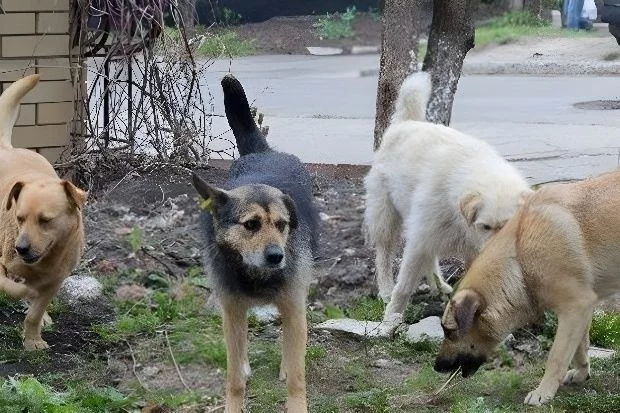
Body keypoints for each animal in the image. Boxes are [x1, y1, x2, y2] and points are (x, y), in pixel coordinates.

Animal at [0, 75, 87, 350]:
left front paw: (33, 340)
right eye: (19, 218)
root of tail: (7, 148)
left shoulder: (55, 280)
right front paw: (23, 292)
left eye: (45, 220)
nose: (21, 248)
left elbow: (35, 313)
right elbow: (10, 287)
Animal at [193, 74, 320, 412]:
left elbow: (297, 377)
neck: (256, 276)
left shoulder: (293, 305)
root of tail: (263, 151)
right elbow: (234, 378)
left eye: (282, 225)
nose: (277, 256)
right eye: (250, 225)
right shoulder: (232, 310)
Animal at [364, 72, 532, 324]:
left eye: (509, 225)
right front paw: (391, 317)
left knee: (429, 257)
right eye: (485, 226)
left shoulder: (469, 249)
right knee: (384, 254)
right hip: (387, 216)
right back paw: (385, 291)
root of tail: (407, 122)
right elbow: (404, 287)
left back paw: (439, 286)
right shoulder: (419, 239)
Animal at [434, 169, 620, 404]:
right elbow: (579, 348)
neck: (519, 258)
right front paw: (581, 373)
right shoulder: (582, 310)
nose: (436, 366)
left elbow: (557, 356)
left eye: (449, 331)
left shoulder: (575, 308)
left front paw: (544, 391)